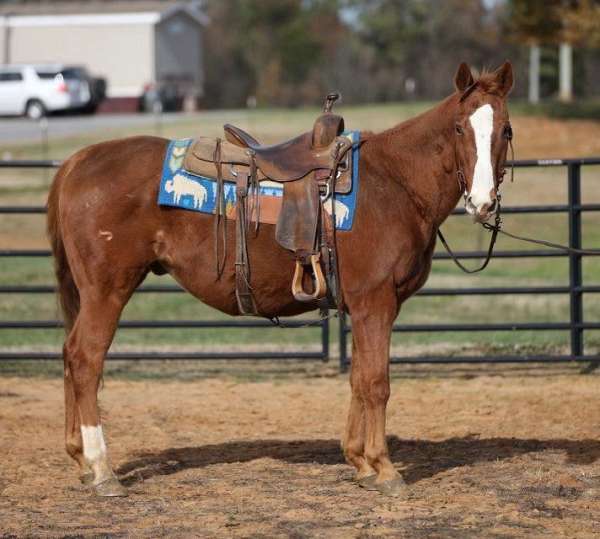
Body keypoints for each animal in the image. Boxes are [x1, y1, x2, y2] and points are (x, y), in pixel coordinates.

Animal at [47, 62, 512, 498]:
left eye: (505, 129)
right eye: (459, 127)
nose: (483, 202)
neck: (396, 183)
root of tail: (76, 162)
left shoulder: (365, 306)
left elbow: (358, 379)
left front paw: (359, 462)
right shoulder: (375, 302)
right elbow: (376, 382)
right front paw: (384, 468)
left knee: (70, 356)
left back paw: (81, 460)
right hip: (107, 290)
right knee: (85, 359)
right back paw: (102, 469)